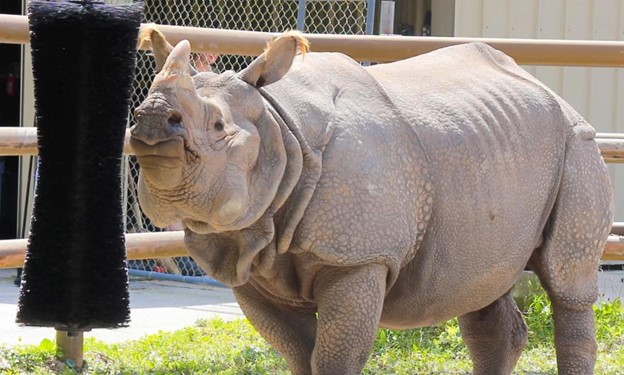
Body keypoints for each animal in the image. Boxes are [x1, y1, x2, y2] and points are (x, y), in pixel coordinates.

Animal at [129, 30, 612, 375]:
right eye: (136, 114)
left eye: (217, 125)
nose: (149, 120)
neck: (280, 129)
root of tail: (550, 91)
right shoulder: (248, 264)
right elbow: (299, 357)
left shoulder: (358, 258)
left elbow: (333, 360)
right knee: (483, 288)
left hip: (577, 144)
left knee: (566, 283)